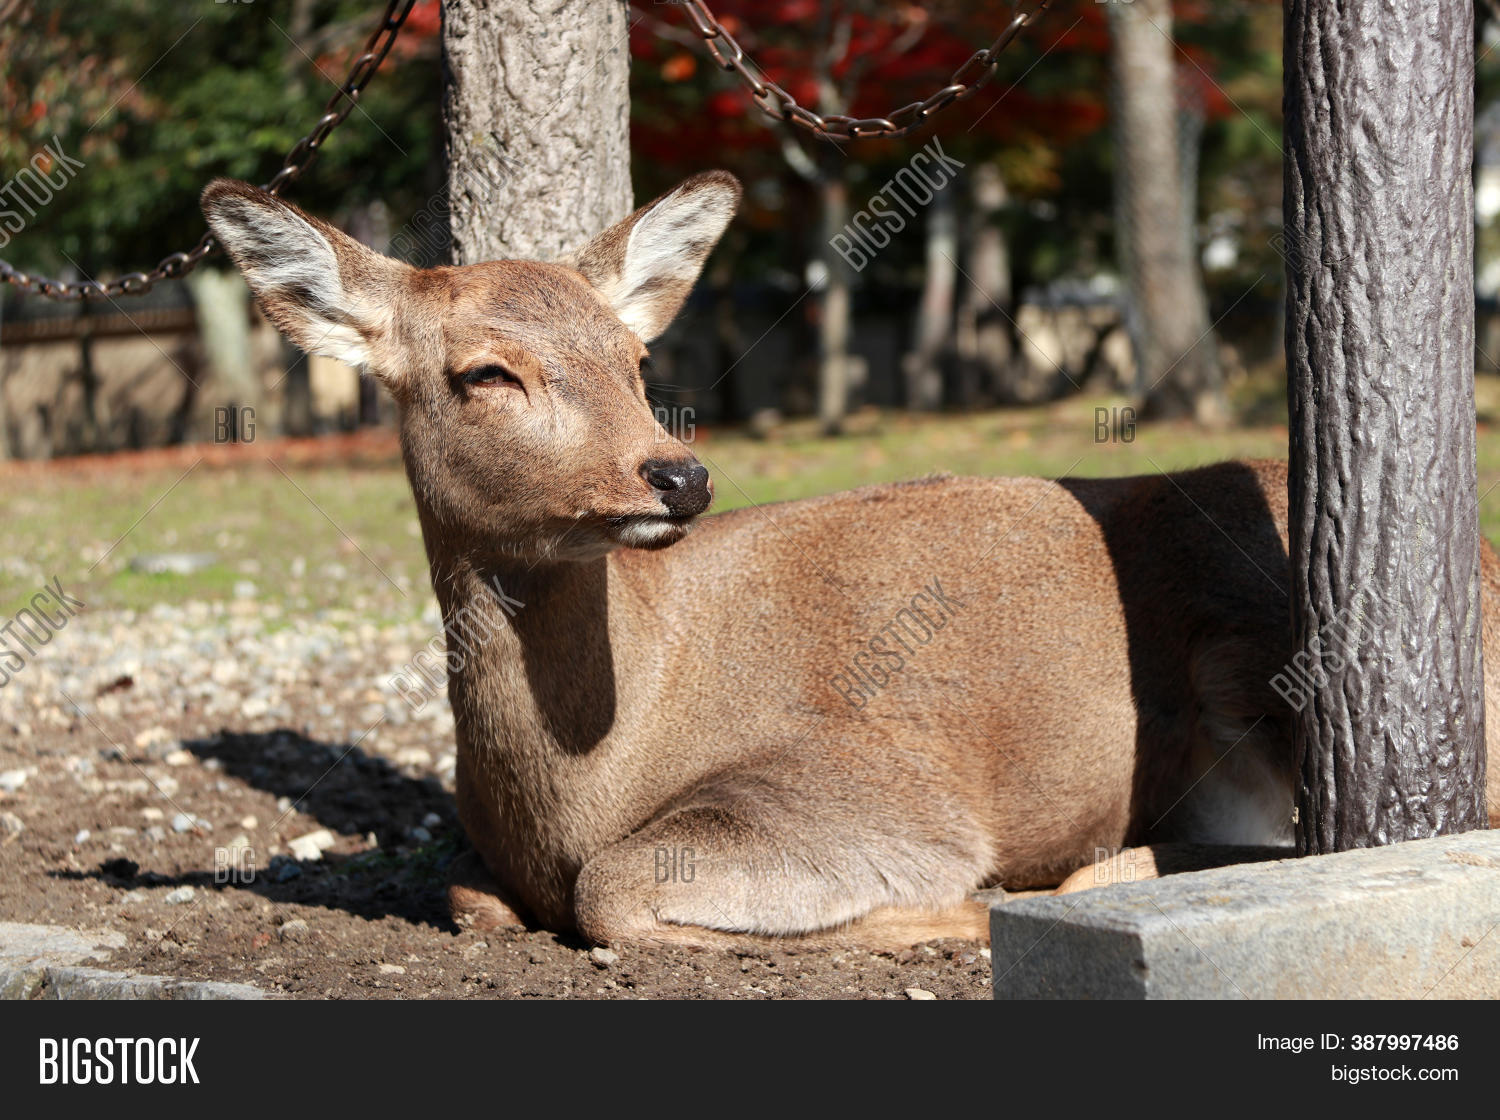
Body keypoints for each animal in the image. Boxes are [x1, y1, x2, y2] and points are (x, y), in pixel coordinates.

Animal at [201, 172, 1500, 951]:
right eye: (484, 371)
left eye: (632, 355)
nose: (678, 474)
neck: (586, 778)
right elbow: (472, 895)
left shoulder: (873, 791)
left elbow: (614, 895)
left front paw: (955, 911)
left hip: (1258, 650)